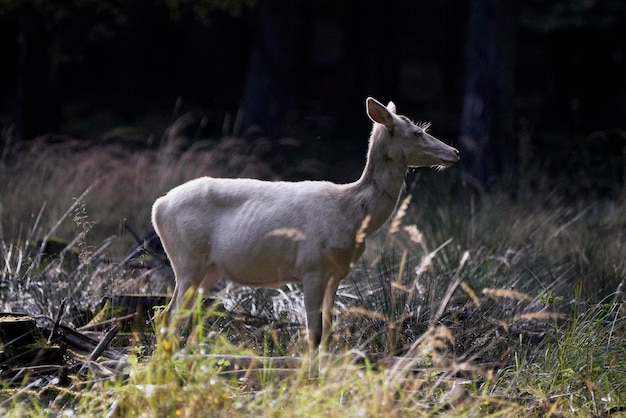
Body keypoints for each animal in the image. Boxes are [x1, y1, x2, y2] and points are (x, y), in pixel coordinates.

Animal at [151, 96, 458, 364]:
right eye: (418, 132)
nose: (455, 153)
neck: (351, 215)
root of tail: (158, 206)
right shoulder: (312, 266)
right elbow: (314, 333)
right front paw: (309, 377)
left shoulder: (337, 273)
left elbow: (329, 330)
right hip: (187, 259)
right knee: (168, 316)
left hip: (209, 269)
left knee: (178, 316)